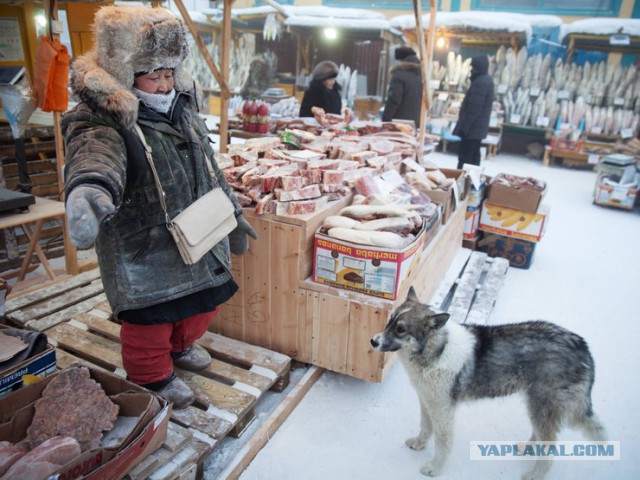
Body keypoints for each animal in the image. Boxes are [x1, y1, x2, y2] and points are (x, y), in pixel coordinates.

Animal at [370, 286, 604, 478]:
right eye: (390, 320)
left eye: (401, 329)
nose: (373, 341)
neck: (436, 350)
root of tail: (583, 346)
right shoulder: (427, 401)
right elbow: (425, 428)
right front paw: (419, 444)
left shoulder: (443, 410)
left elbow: (443, 442)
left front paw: (435, 469)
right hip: (536, 406)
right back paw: (527, 448)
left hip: (542, 408)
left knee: (549, 451)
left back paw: (535, 475)